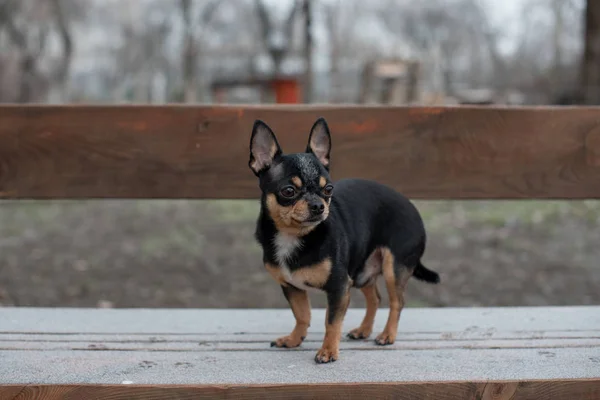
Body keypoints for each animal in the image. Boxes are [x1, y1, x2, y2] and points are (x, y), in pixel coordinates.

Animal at [246, 116, 438, 362]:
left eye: (328, 189)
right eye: (288, 191)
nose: (318, 205)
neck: (294, 236)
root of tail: (412, 206)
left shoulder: (338, 287)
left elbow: (332, 322)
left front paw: (328, 351)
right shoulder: (291, 286)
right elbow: (302, 315)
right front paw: (294, 339)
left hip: (392, 269)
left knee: (397, 302)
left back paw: (387, 335)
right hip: (361, 272)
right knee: (375, 298)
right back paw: (364, 330)